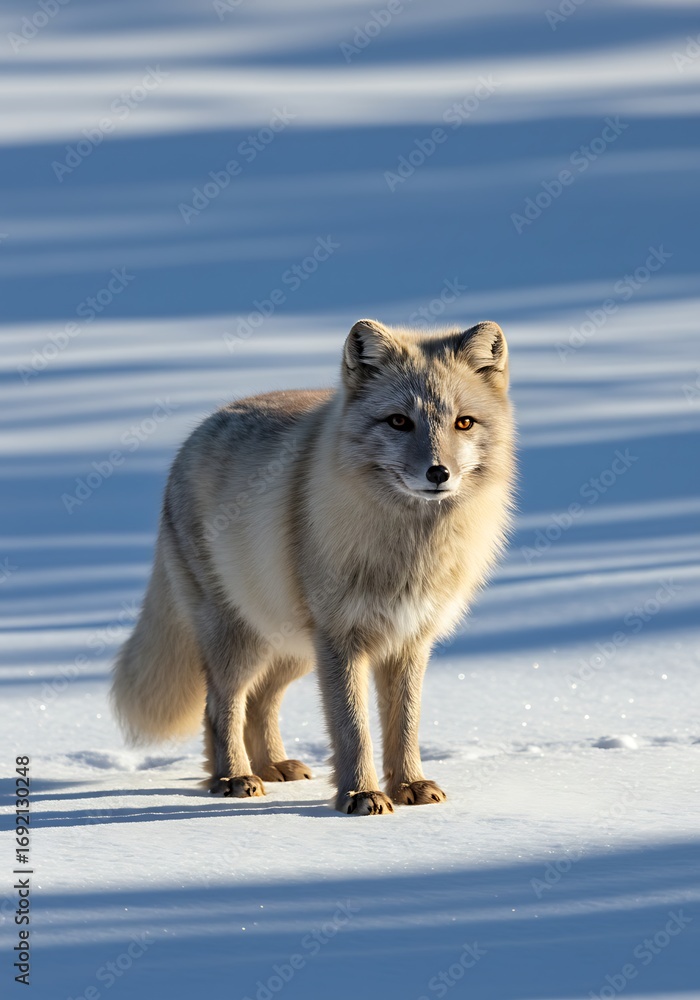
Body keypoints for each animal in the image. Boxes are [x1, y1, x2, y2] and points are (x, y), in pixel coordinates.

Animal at [111, 318, 516, 815]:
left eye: (464, 422)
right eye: (399, 421)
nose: (438, 473)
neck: (408, 554)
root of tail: (199, 431)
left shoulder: (410, 641)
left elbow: (405, 724)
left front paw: (409, 785)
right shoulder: (341, 639)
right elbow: (352, 728)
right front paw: (361, 795)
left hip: (292, 649)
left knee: (260, 702)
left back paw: (272, 766)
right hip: (241, 640)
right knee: (221, 706)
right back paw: (233, 777)